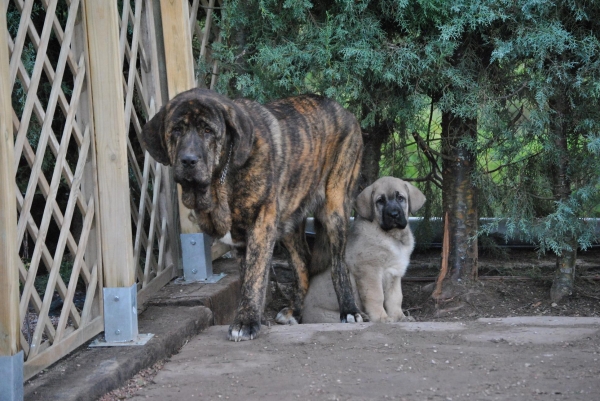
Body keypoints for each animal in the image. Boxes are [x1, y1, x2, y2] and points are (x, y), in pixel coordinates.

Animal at [142, 88, 364, 340]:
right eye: (177, 130)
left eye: (208, 130)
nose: (188, 160)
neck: (222, 180)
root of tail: (344, 111)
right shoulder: (240, 241)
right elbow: (247, 278)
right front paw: (251, 316)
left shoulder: (261, 224)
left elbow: (254, 277)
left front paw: (246, 322)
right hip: (290, 221)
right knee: (303, 265)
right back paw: (295, 311)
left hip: (335, 207)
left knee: (338, 264)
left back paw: (349, 310)